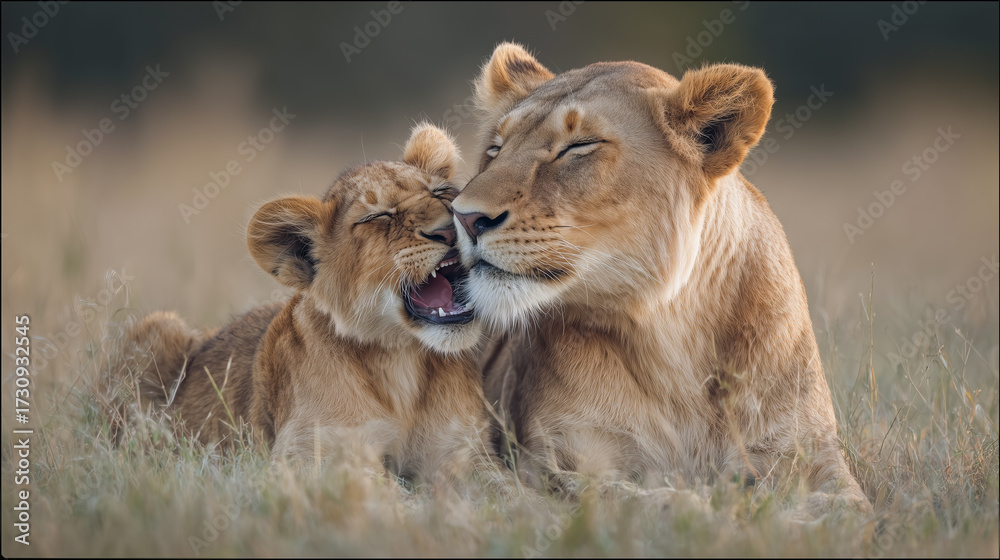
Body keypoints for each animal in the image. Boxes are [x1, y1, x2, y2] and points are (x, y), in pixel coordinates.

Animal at [116, 123, 507, 490]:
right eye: (378, 217)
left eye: (441, 193)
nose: (450, 229)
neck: (401, 362)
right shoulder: (306, 455)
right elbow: (380, 489)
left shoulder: (468, 454)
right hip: (157, 329)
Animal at [450, 43, 871, 514]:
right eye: (496, 148)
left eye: (579, 146)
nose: (463, 217)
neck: (670, 336)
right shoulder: (557, 463)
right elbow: (651, 499)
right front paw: (718, 507)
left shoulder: (808, 450)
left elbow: (850, 508)